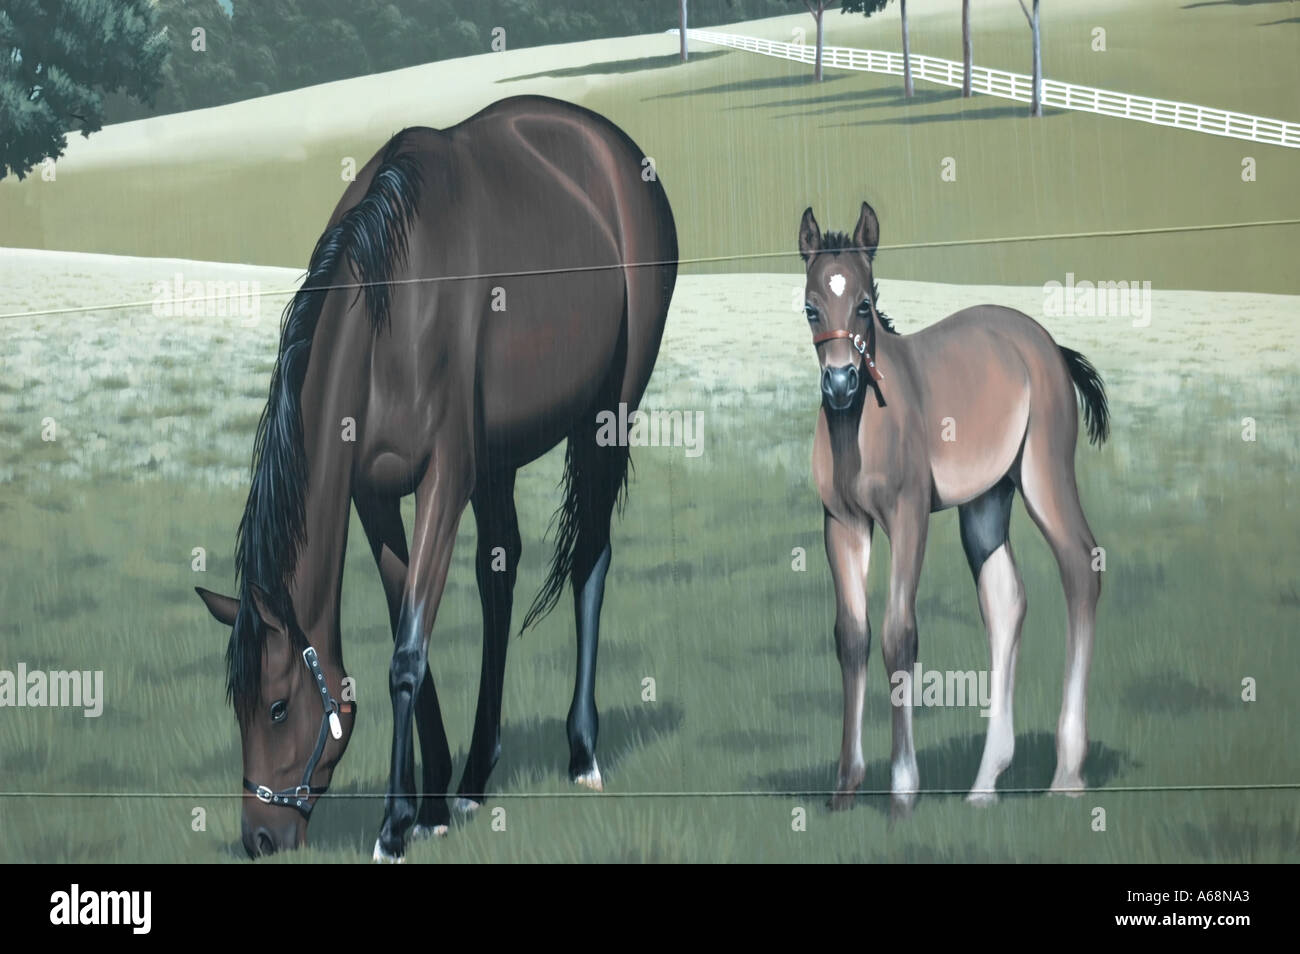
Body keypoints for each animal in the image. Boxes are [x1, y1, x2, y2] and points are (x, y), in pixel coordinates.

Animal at [194, 95, 678, 861]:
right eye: (237, 707)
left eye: (275, 705)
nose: (261, 838)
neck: (390, 310)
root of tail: (616, 146)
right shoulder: (375, 495)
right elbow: (406, 625)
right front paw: (433, 802)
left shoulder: (444, 478)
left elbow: (406, 655)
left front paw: (394, 825)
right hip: (499, 460)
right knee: (498, 571)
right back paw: (478, 774)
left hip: (611, 412)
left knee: (590, 558)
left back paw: (582, 752)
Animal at [799, 202, 1108, 812]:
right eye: (810, 307)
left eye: (865, 303)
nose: (841, 383)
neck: (862, 425)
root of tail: (1048, 346)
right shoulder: (842, 522)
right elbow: (852, 636)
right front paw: (845, 787)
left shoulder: (908, 515)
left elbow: (898, 634)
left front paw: (902, 789)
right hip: (987, 500)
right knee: (1006, 600)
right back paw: (985, 783)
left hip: (1043, 473)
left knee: (1081, 566)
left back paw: (1066, 773)